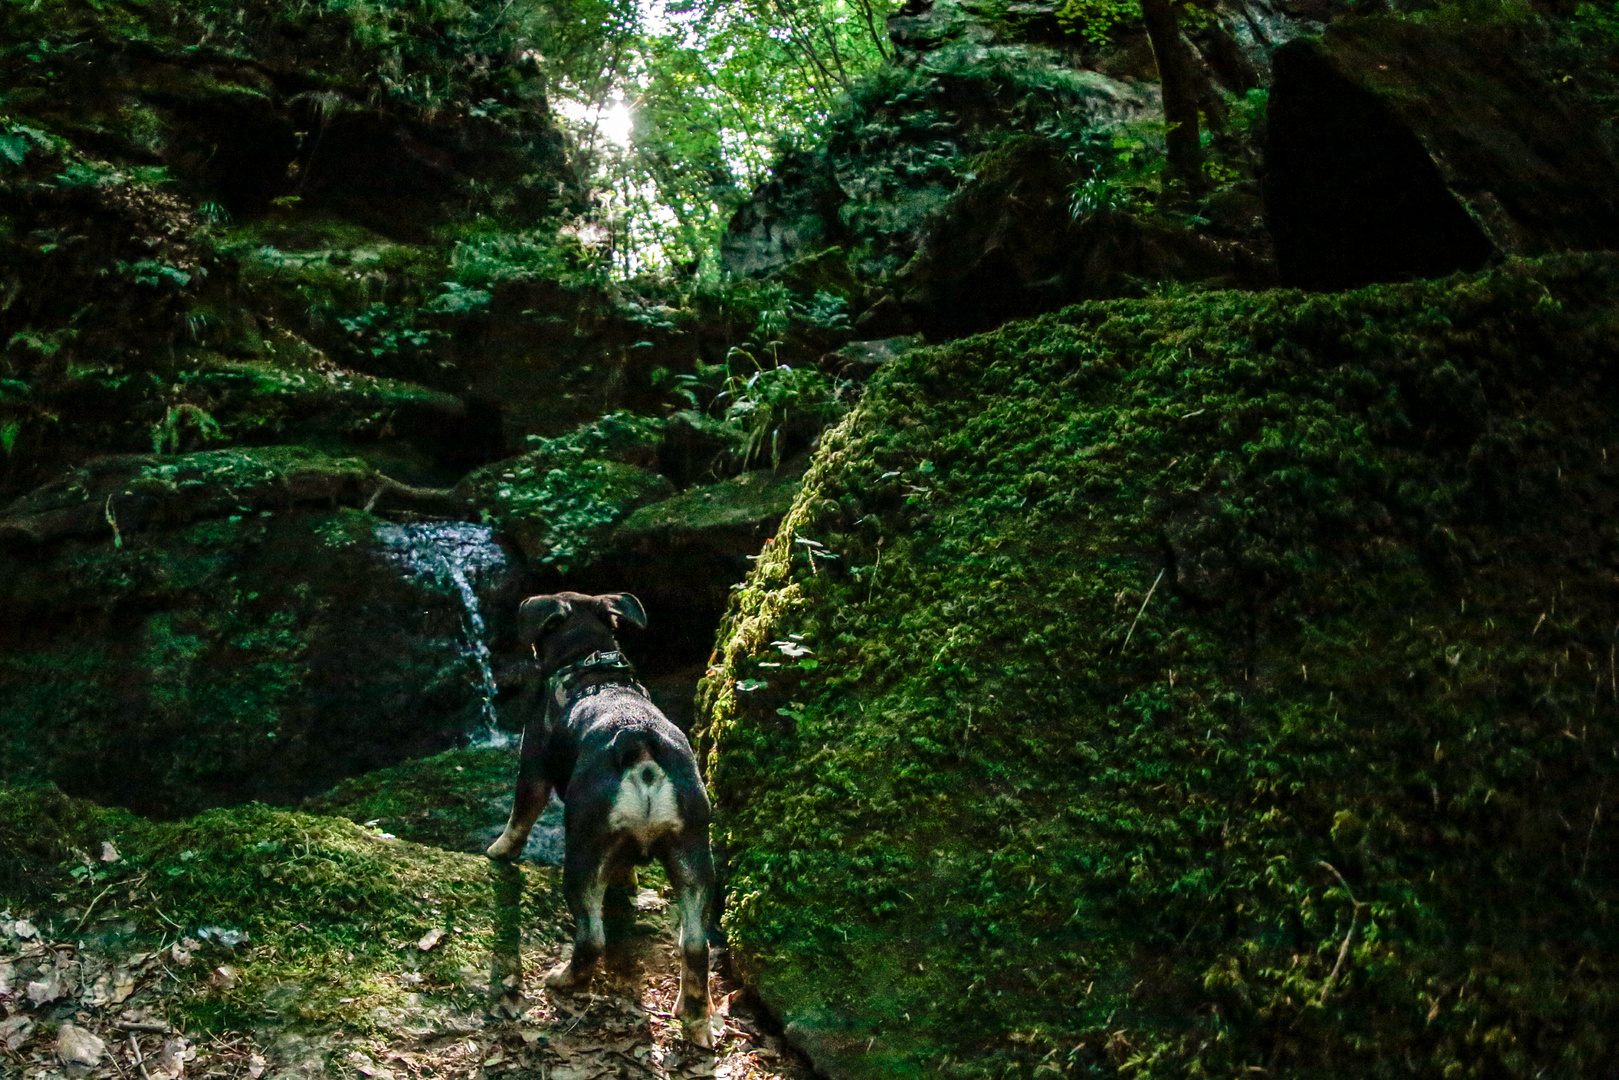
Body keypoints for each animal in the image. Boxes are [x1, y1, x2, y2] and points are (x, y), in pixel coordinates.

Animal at [482, 592, 718, 1049]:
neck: (591, 663)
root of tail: (639, 740)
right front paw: (629, 882)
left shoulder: (532, 762)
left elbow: (520, 815)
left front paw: (499, 851)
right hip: (692, 852)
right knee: (696, 946)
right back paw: (697, 1017)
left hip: (583, 852)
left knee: (591, 938)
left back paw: (564, 980)